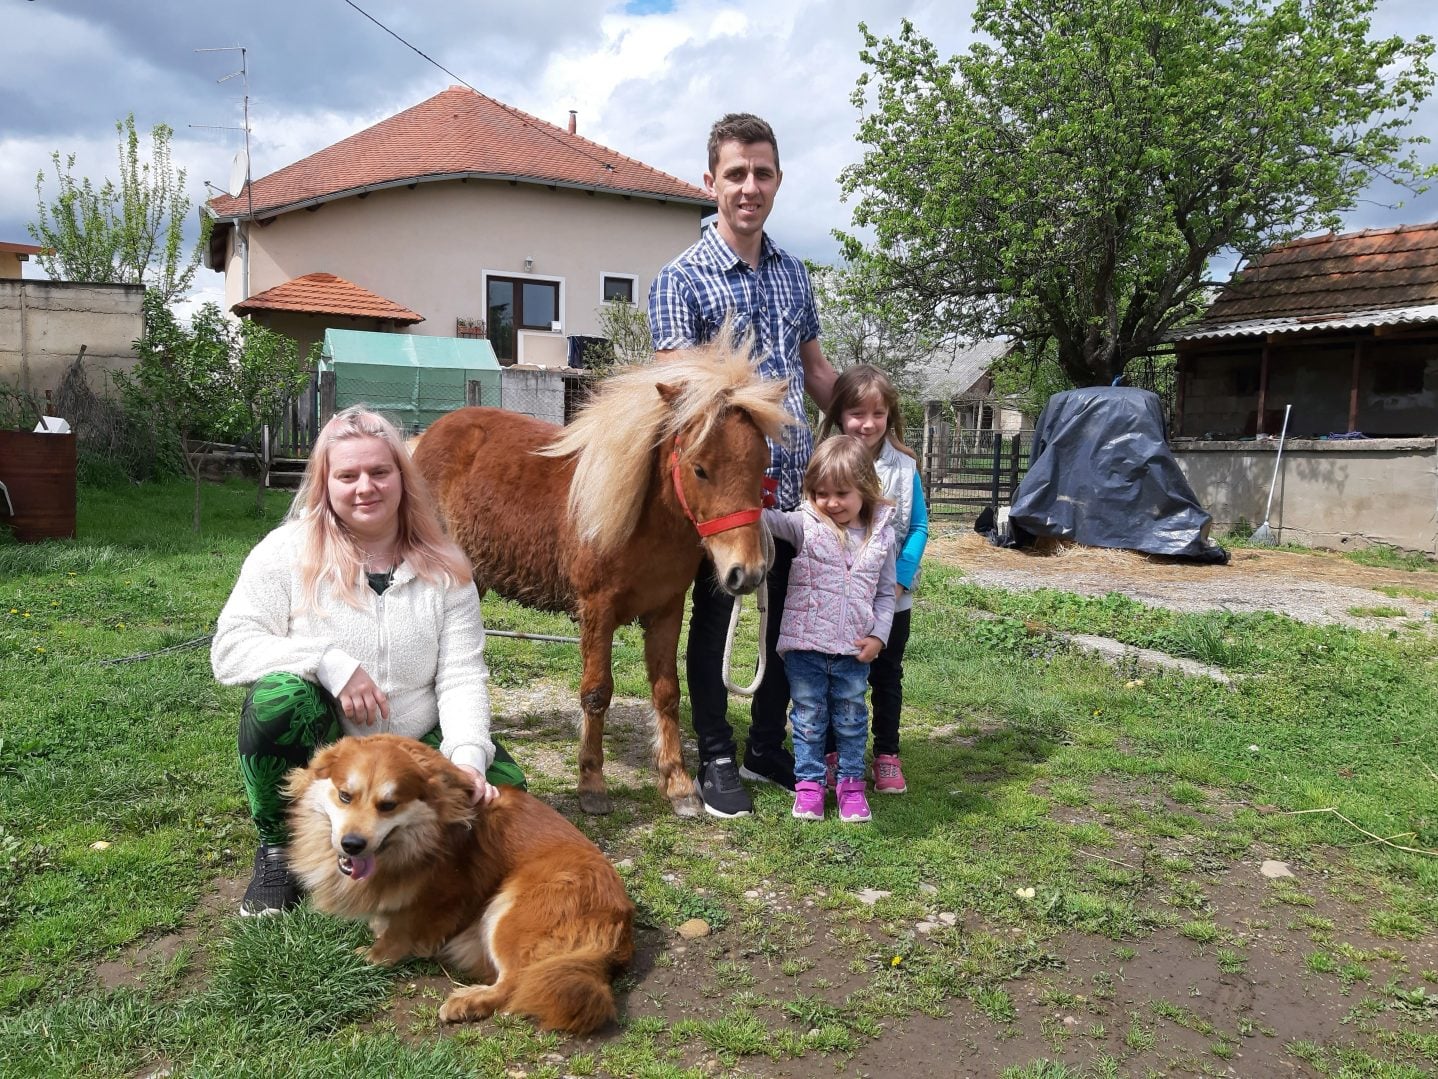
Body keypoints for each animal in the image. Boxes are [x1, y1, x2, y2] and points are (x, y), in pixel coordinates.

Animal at [283, 734, 634, 1034]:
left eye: (388, 805)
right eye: (345, 796)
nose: (352, 845)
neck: (423, 836)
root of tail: (622, 924)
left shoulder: (442, 894)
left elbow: (401, 930)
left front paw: (371, 955)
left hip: (510, 911)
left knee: (518, 981)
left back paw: (468, 1001)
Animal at [413, 339, 793, 816]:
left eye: (762, 465)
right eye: (700, 468)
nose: (747, 573)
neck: (643, 522)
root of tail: (424, 439)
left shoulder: (667, 610)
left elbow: (667, 692)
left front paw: (678, 783)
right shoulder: (597, 610)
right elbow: (596, 692)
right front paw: (592, 783)